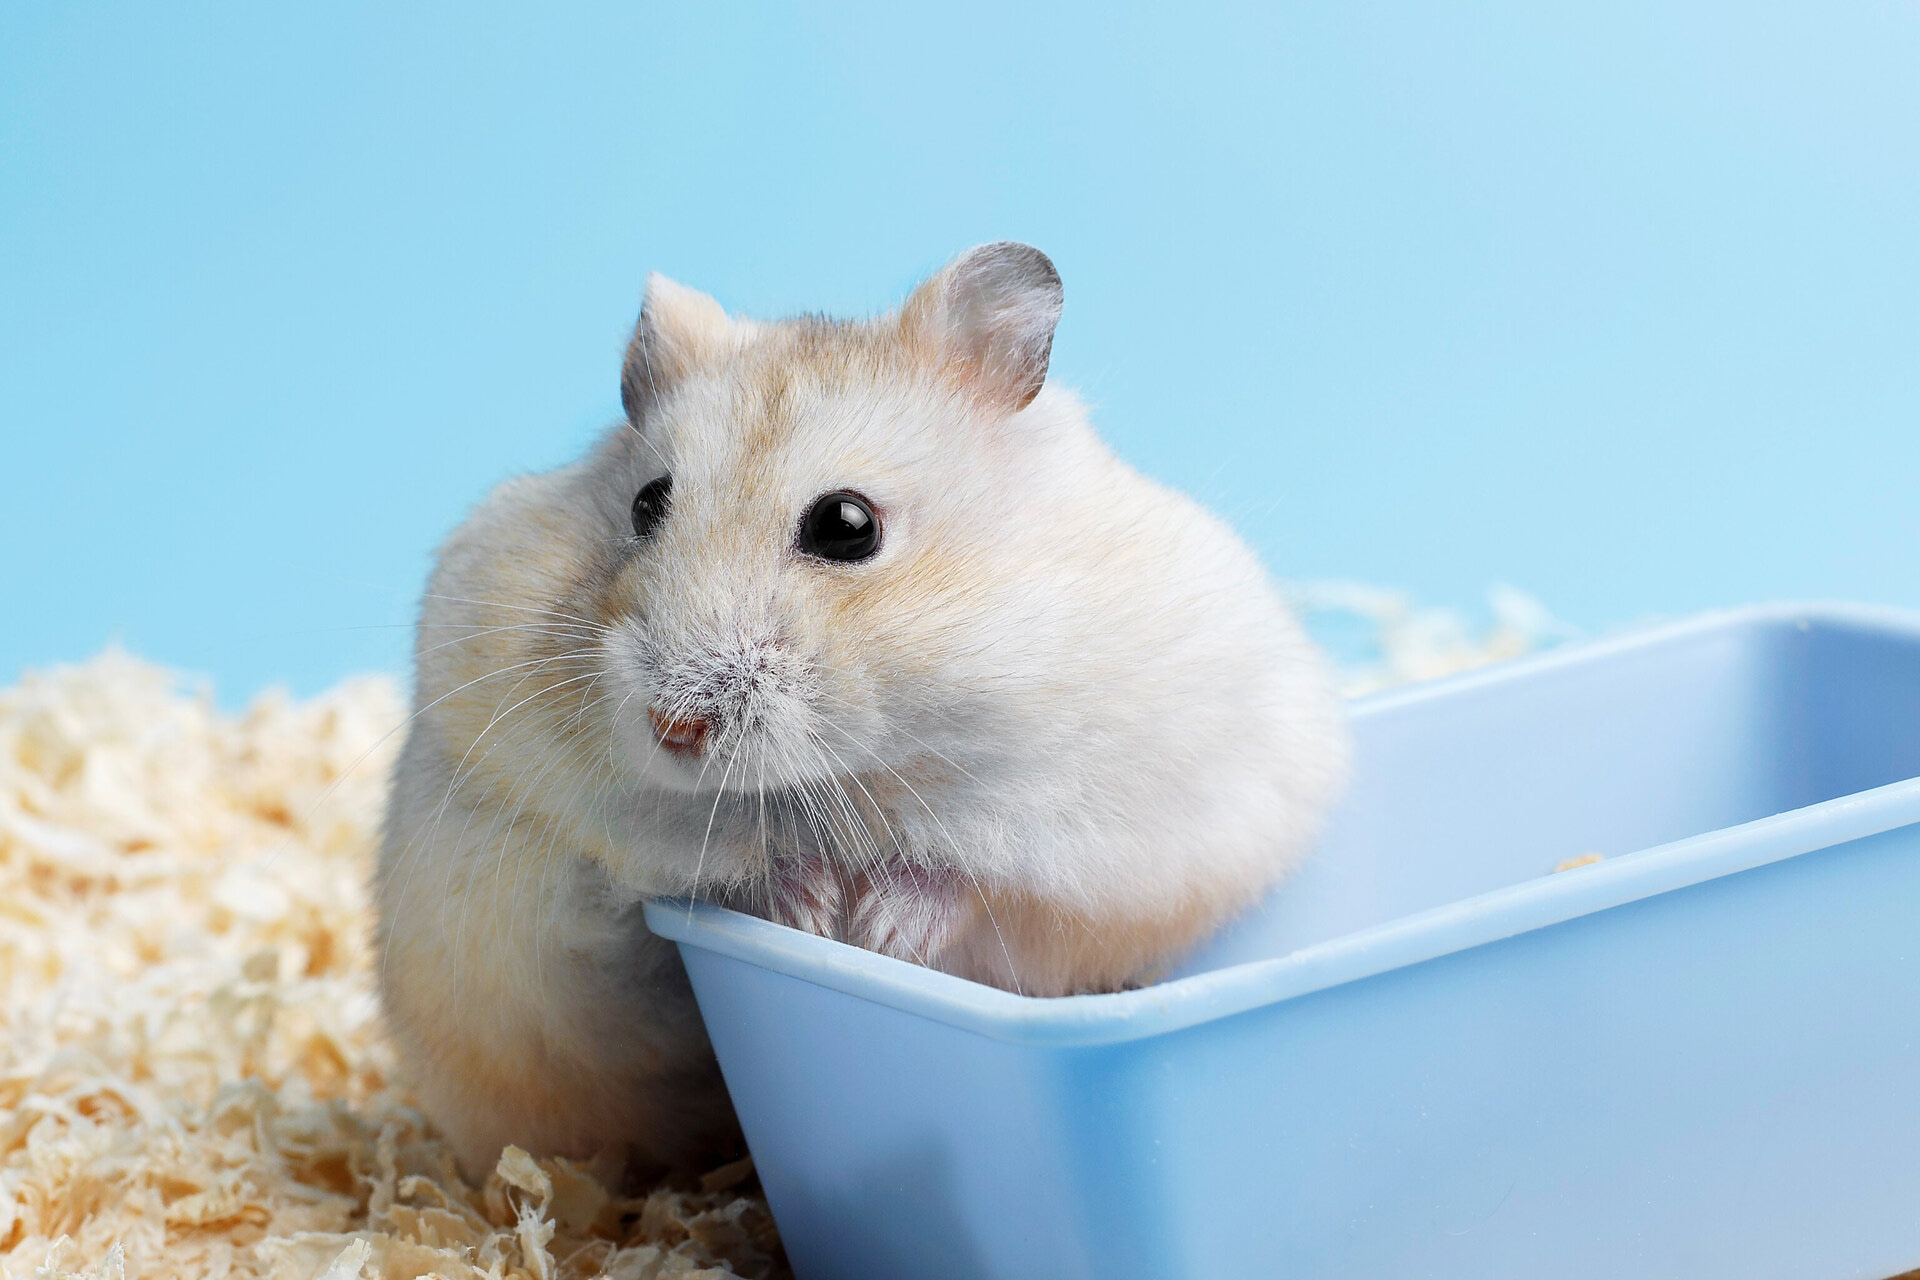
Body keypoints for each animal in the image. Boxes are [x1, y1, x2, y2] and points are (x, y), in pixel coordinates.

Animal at [374, 242, 1348, 1180]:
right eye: (647, 503)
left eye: (847, 525)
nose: (673, 732)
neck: (860, 774)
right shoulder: (513, 788)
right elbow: (674, 855)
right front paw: (807, 906)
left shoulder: (1135, 818)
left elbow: (985, 873)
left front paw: (877, 928)